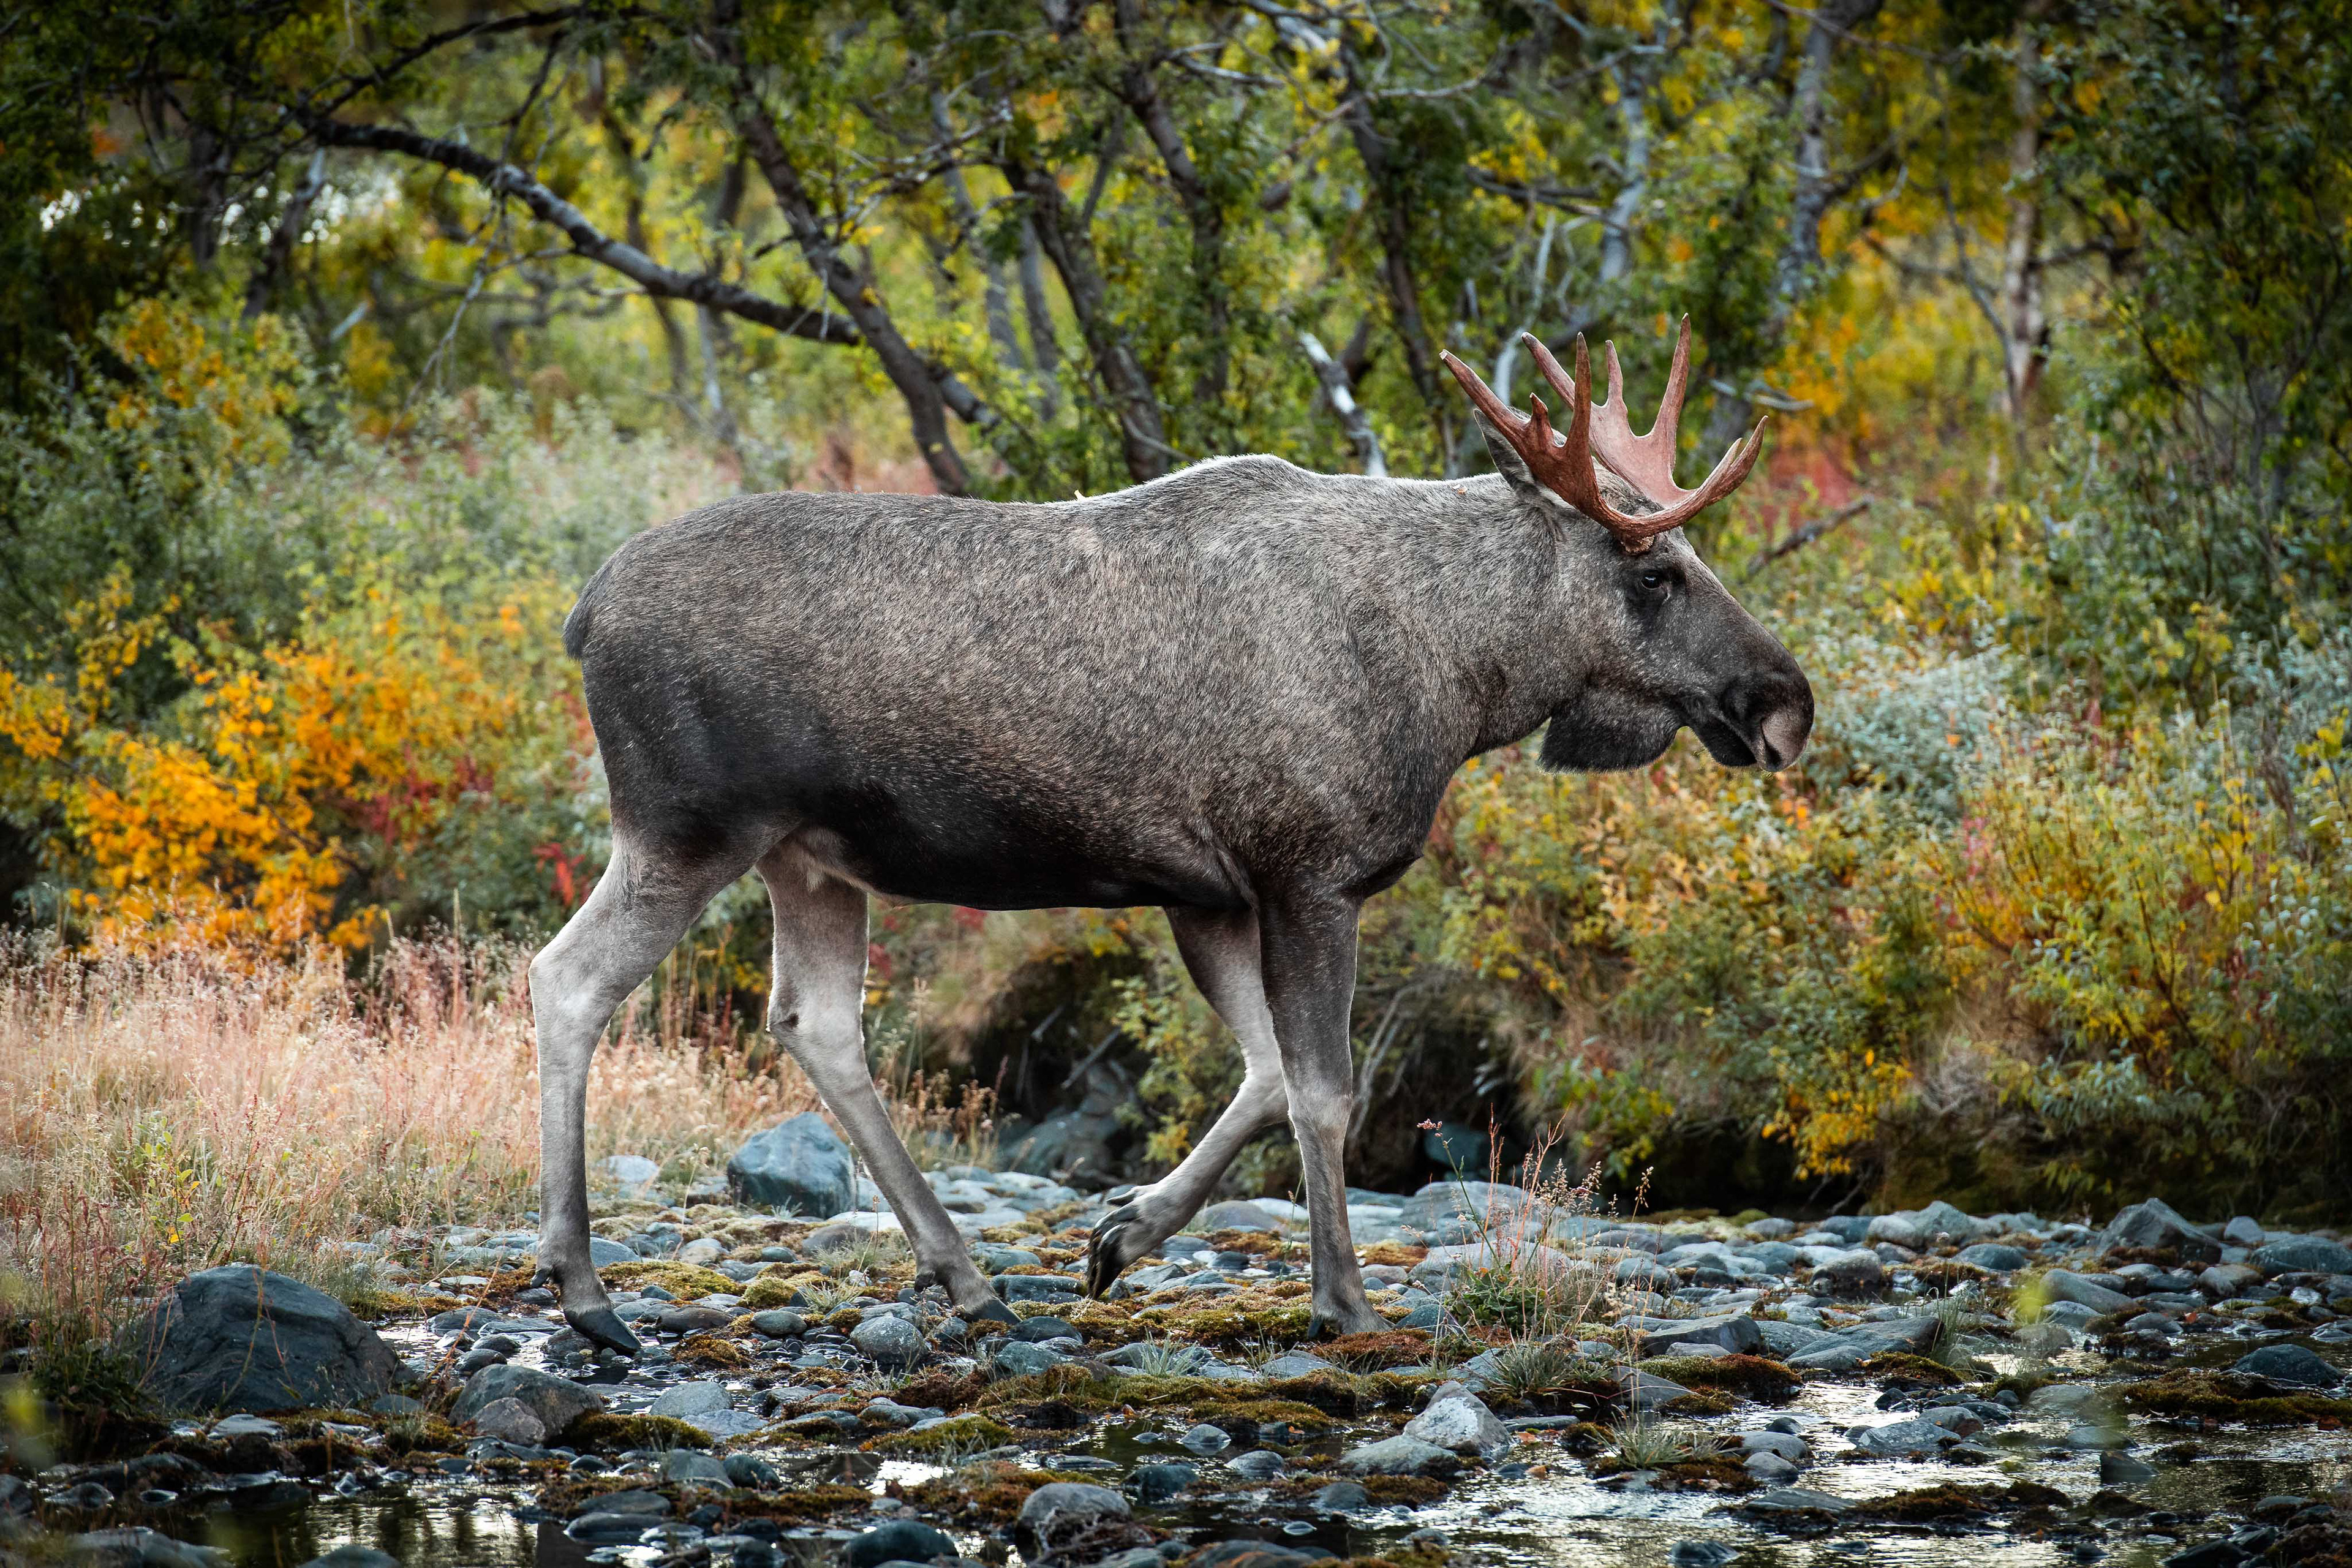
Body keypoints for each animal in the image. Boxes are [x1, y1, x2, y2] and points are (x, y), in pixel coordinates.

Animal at [530, 321, 1811, 1354]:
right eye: (1657, 567)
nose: (1785, 702)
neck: (1463, 684)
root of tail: (582, 612)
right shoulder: (1310, 874)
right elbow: (1327, 1092)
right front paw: (1342, 1302)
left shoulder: (1207, 890)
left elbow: (1264, 1075)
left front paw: (1122, 1234)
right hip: (687, 827)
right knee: (567, 977)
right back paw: (587, 1292)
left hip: (809, 857)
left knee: (815, 1022)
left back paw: (967, 1280)